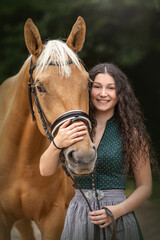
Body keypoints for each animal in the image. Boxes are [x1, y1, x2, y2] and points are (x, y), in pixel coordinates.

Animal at [0, 17, 96, 240]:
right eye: (40, 87)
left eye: (88, 83)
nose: (83, 157)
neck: (24, 161)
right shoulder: (3, 220)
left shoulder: (53, 219)